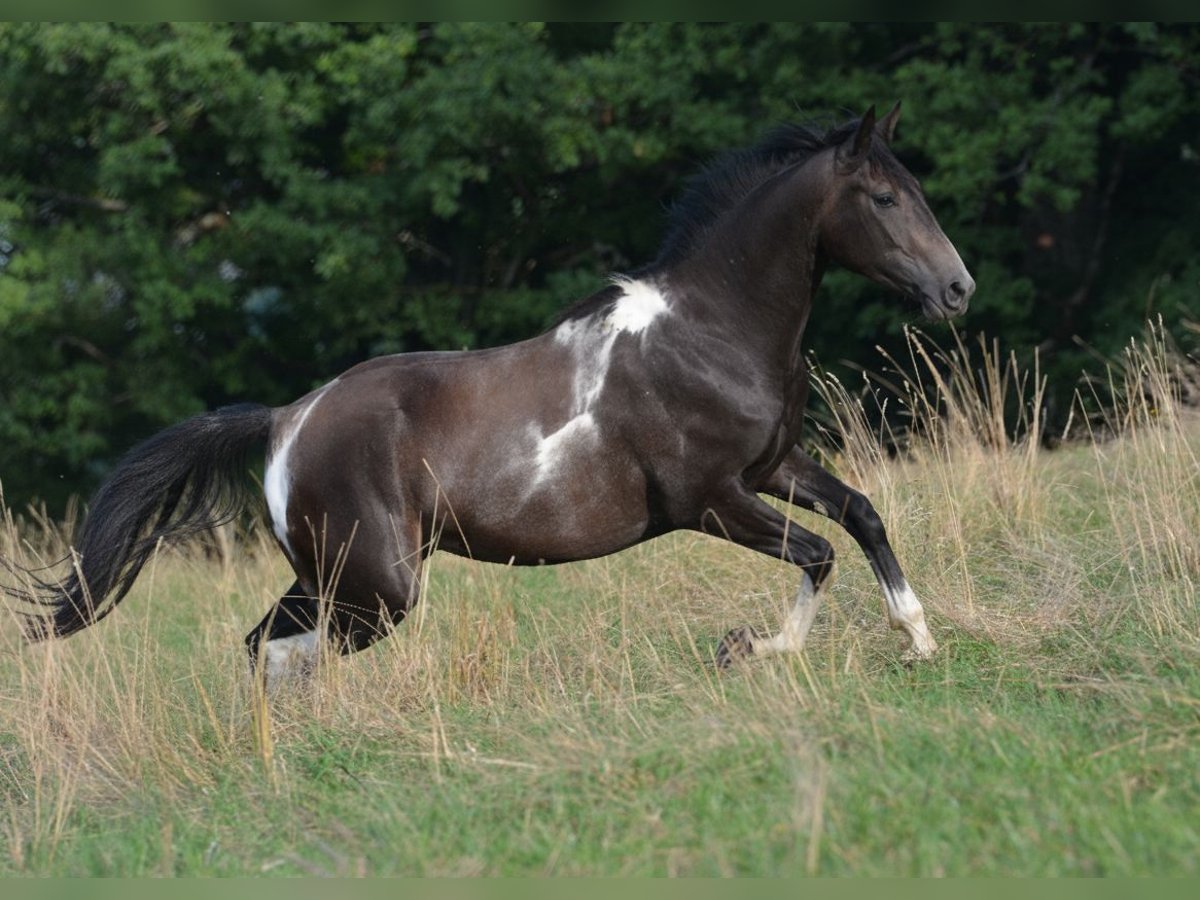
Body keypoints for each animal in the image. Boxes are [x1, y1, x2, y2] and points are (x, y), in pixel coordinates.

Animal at [9, 103, 973, 687]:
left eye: (917, 189)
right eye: (883, 198)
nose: (957, 290)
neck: (711, 330)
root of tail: (285, 420)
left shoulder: (774, 466)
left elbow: (861, 517)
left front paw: (921, 639)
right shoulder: (711, 500)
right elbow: (818, 552)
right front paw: (751, 648)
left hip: (337, 578)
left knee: (265, 647)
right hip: (375, 589)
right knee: (286, 654)